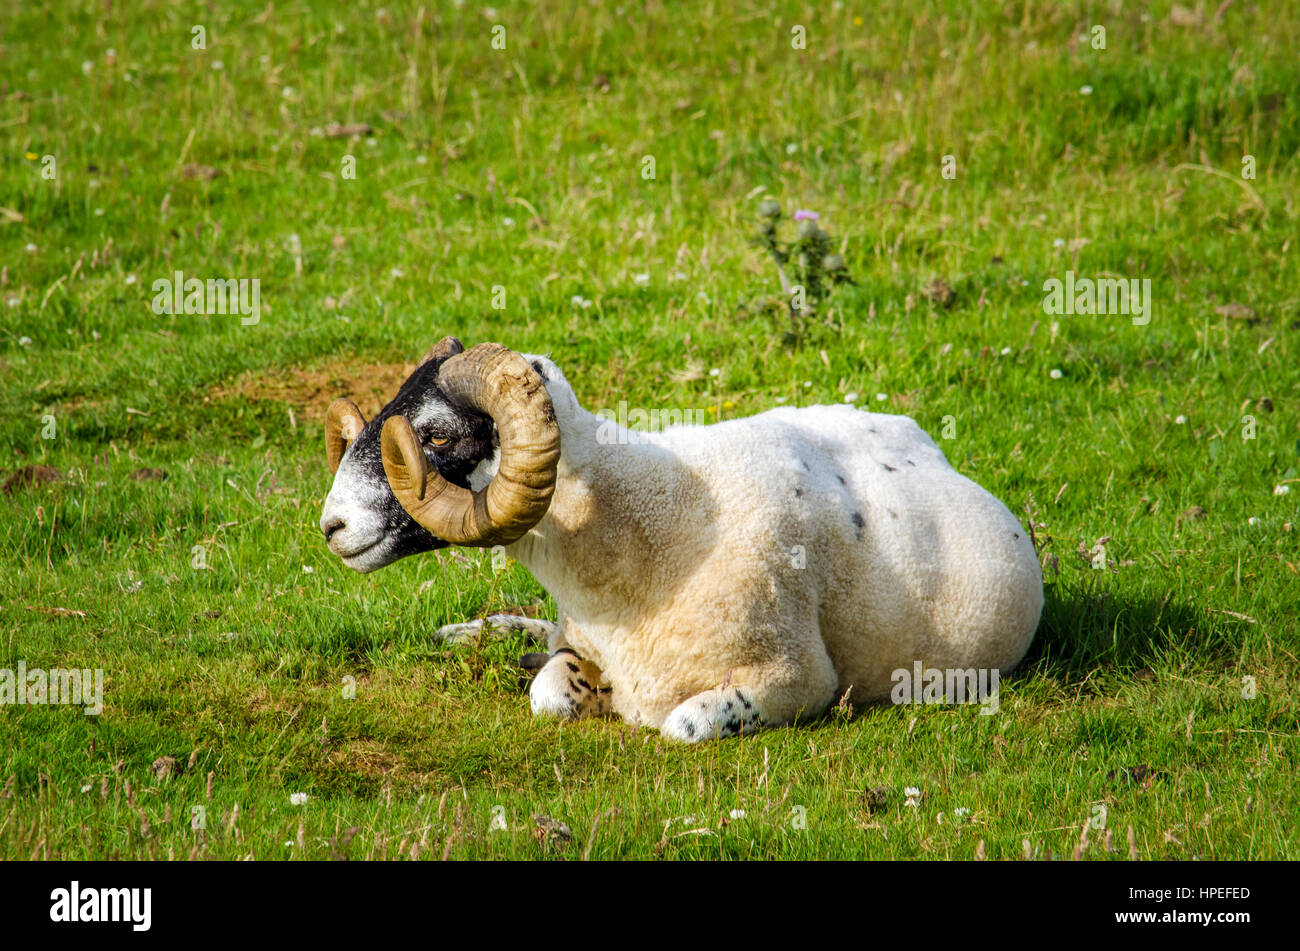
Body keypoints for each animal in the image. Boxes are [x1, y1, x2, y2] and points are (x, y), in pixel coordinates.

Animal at [319, 337, 1040, 737]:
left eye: (437, 434)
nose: (332, 525)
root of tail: (930, 444)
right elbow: (549, 692)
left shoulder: (800, 680)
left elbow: (680, 723)